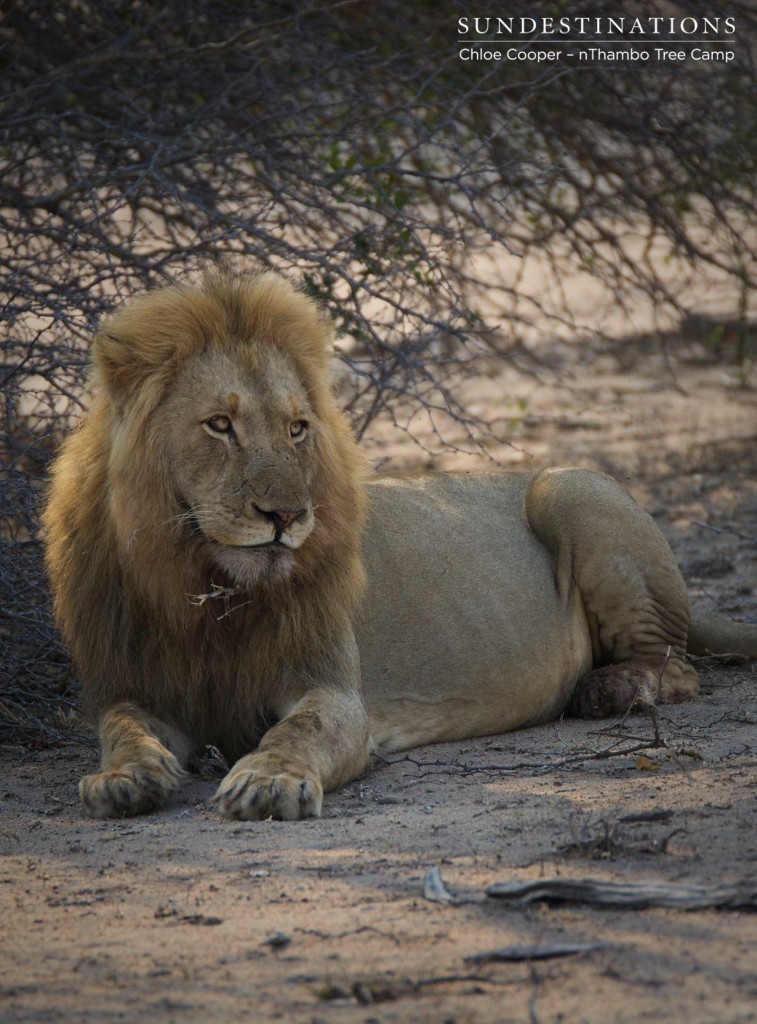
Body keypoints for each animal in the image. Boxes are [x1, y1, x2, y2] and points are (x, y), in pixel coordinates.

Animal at [43, 268, 757, 819]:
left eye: (298, 429)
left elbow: (300, 728)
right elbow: (121, 728)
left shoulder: (336, 692)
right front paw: (120, 779)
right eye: (219, 425)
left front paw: (268, 780)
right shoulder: (141, 689)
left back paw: (603, 691)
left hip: (568, 487)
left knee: (677, 668)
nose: (286, 515)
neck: (206, 591)